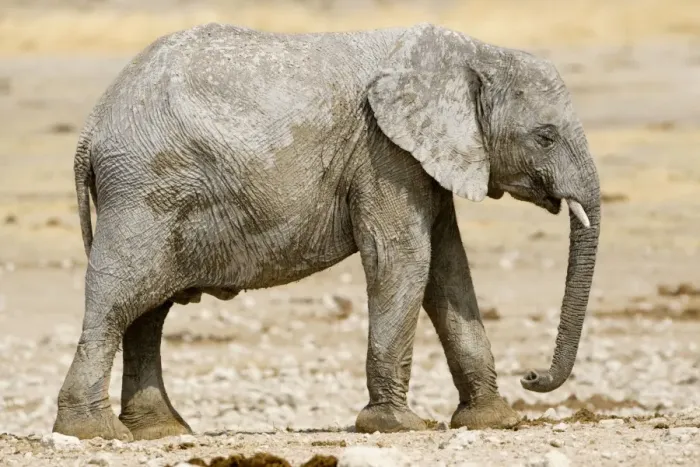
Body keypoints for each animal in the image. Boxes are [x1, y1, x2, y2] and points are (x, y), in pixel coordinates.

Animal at [53, 22, 600, 441]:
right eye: (545, 137)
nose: (531, 374)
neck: (472, 53)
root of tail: (90, 129)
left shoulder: (423, 160)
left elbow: (448, 269)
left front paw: (494, 421)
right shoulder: (384, 154)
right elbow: (402, 258)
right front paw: (396, 426)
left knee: (148, 311)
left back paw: (160, 431)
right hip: (145, 192)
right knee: (119, 299)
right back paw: (94, 433)